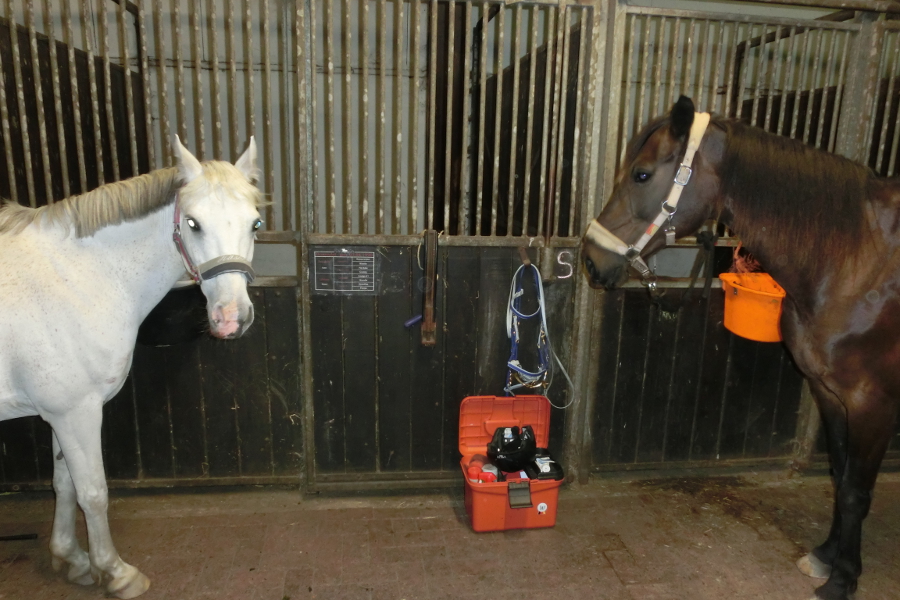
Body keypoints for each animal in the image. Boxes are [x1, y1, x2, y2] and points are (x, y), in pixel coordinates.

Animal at [0, 136, 263, 598]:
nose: (231, 318)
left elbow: (63, 484)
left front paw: (72, 559)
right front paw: (115, 571)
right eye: (192, 223)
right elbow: (92, 492)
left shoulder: (59, 414)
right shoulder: (77, 412)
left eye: (255, 224)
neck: (80, 277)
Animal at [581, 96, 900, 600]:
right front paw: (826, 556)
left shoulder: (874, 403)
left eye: (642, 174)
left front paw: (843, 578)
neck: (856, 257)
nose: (591, 261)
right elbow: (839, 472)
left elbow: (855, 490)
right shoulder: (828, 393)